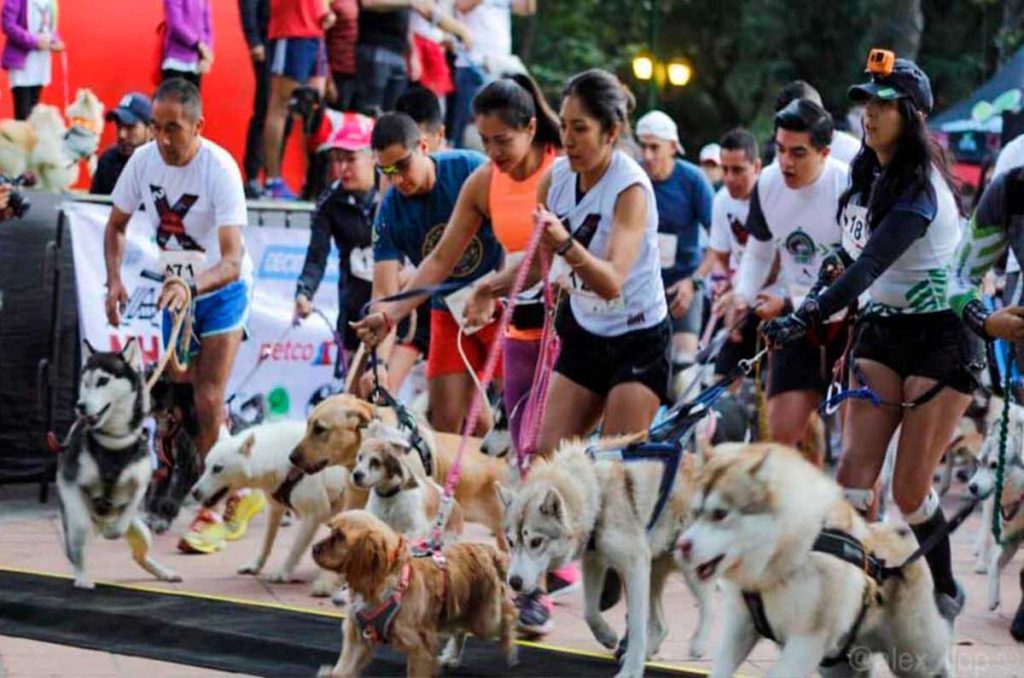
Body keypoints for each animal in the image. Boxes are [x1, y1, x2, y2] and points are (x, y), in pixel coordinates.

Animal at [58, 342, 182, 594]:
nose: (80, 406)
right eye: (85, 382)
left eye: (103, 381)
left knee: (140, 556)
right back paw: (82, 577)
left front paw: (114, 530)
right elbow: (79, 522)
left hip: (143, 533)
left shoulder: (142, 481)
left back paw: (164, 572)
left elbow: (129, 507)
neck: (114, 441)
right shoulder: (68, 481)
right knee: (77, 551)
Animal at [311, 512, 520, 675]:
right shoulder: (357, 639)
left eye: (340, 536)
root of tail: (487, 550)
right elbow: (342, 670)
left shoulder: (420, 646)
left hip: (485, 620)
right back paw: (452, 656)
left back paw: (509, 650)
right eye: (331, 531)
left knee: (509, 614)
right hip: (460, 610)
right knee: (461, 630)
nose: (314, 548)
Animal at [497, 436, 708, 678]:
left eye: (535, 542)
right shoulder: (593, 561)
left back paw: (699, 643)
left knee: (710, 603)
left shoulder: (635, 566)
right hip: (655, 570)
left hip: (689, 564)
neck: (596, 493)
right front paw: (607, 636)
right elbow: (589, 610)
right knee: (662, 625)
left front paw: (632, 670)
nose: (514, 582)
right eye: (511, 542)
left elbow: (637, 626)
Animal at [679, 446, 950, 678]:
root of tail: (899, 536)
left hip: (912, 650)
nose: (682, 546)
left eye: (719, 514)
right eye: (694, 512)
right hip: (840, 659)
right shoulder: (741, 628)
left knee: (936, 657)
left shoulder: (807, 640)